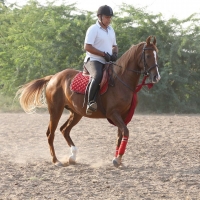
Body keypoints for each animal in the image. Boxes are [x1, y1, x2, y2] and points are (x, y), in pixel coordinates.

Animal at [17, 36, 161, 167]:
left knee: (64, 130)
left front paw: (117, 159)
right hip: (56, 111)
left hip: (76, 113)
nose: (156, 77)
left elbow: (120, 135)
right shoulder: (113, 114)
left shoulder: (123, 115)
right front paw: (118, 158)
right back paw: (56, 161)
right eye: (148, 56)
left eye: (156, 56)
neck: (120, 80)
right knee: (50, 134)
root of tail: (54, 77)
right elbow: (125, 132)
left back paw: (72, 157)